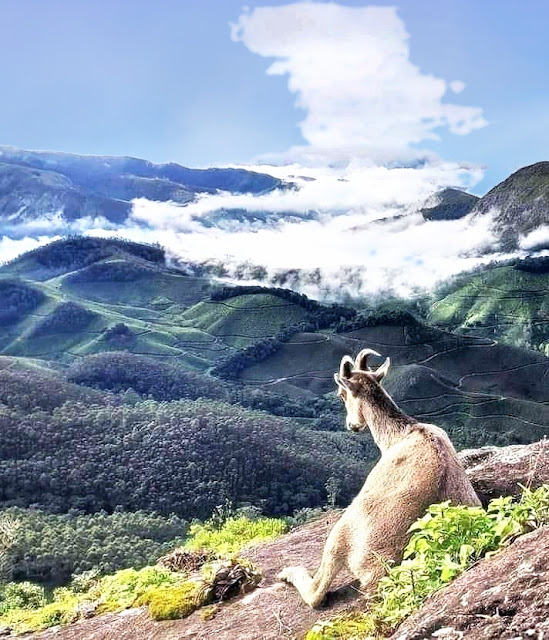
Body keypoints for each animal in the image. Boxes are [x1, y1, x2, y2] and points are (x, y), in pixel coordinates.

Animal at [278, 350, 480, 608]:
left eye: (341, 394)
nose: (352, 425)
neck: (402, 433)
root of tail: (382, 571)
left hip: (342, 533)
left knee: (317, 592)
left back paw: (289, 572)